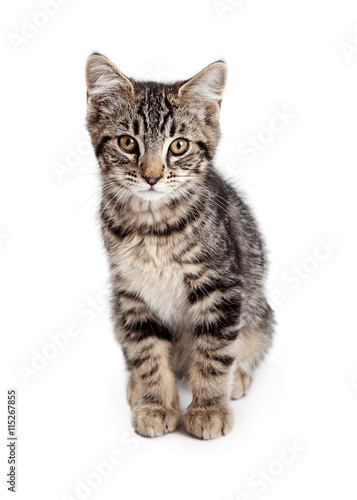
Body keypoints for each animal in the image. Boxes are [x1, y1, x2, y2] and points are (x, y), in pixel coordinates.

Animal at [85, 52, 274, 440]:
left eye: (179, 146)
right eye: (128, 143)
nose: (152, 176)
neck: (153, 228)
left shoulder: (221, 287)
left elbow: (215, 353)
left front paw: (208, 408)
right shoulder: (132, 294)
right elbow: (147, 353)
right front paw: (156, 404)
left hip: (259, 312)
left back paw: (238, 377)